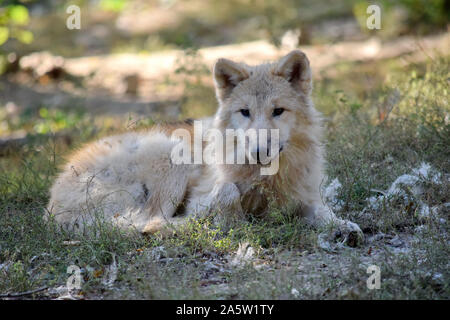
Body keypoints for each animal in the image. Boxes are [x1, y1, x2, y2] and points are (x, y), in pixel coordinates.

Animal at [46, 49, 362, 245]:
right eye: (245, 112)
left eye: (278, 111)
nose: (259, 151)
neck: (265, 179)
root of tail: (52, 208)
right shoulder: (201, 196)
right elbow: (226, 191)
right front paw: (234, 222)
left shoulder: (305, 197)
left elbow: (325, 213)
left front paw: (345, 226)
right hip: (171, 155)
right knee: (151, 221)